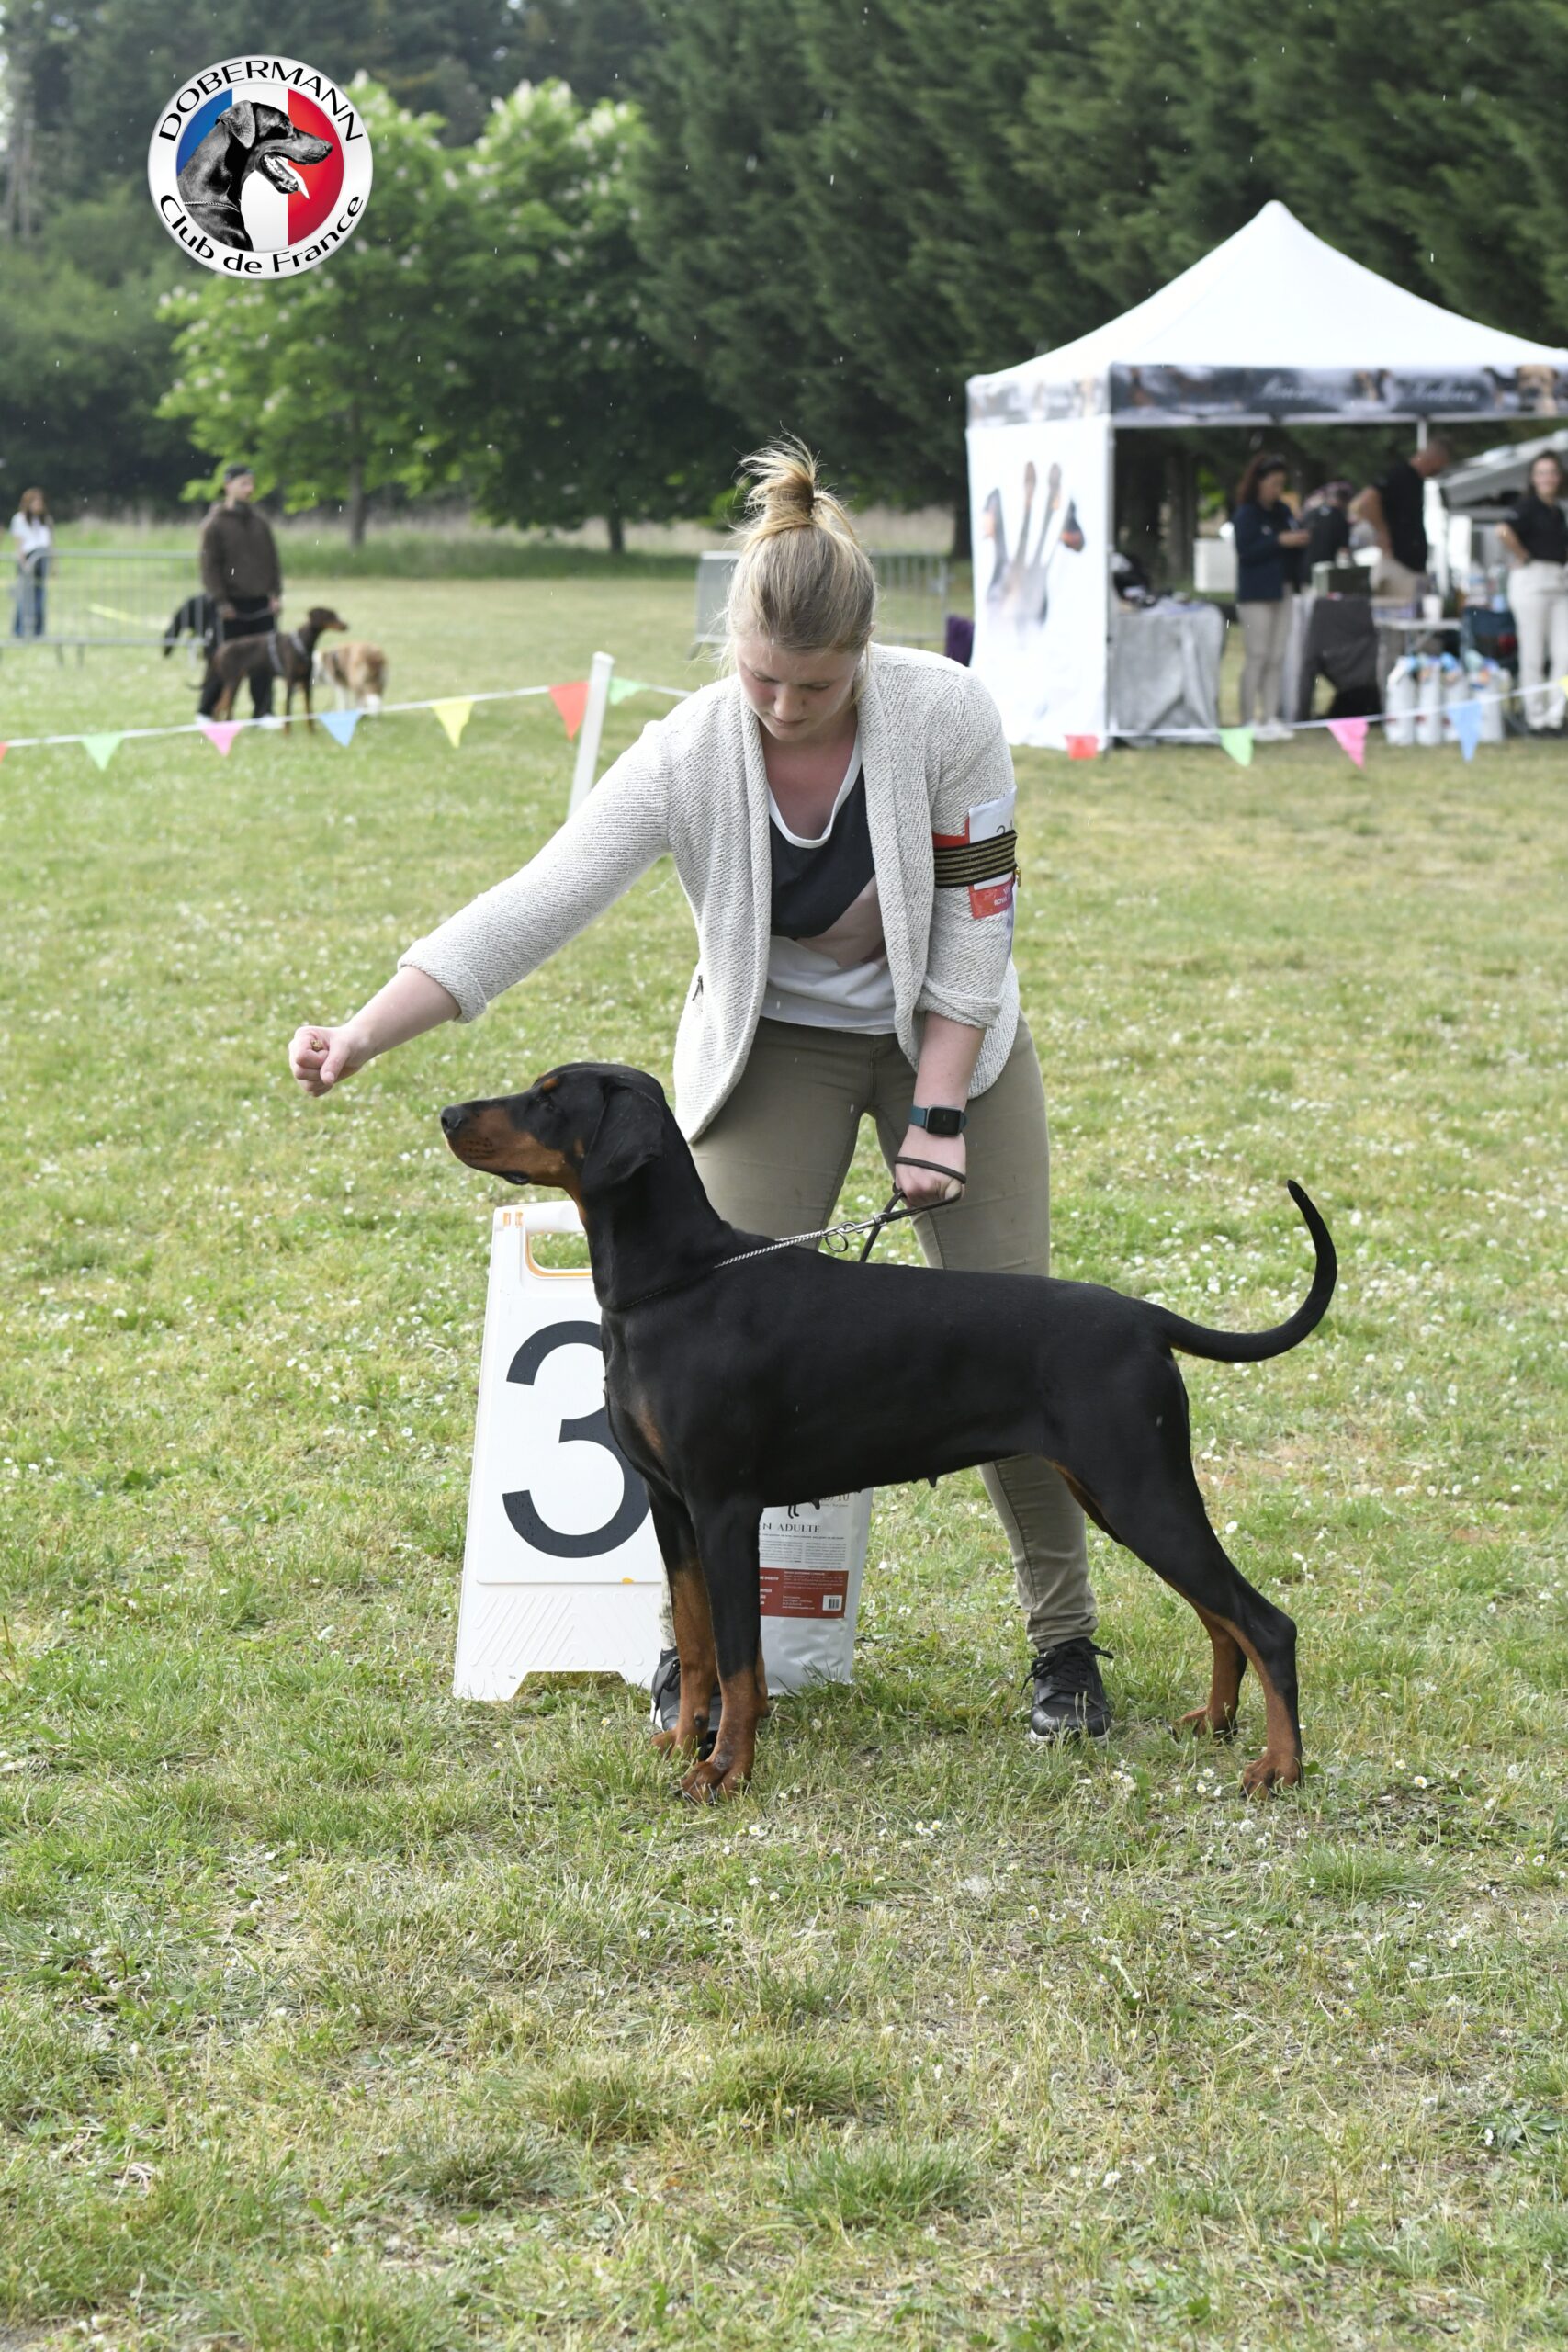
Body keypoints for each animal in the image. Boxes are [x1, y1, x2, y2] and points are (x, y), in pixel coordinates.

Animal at [205, 607, 346, 730]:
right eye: (330, 615)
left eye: (335, 614)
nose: (346, 625)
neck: (302, 643)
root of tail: (221, 649)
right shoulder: (290, 681)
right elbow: (288, 710)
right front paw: (287, 733)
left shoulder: (305, 681)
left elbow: (309, 710)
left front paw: (312, 732)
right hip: (233, 683)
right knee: (227, 709)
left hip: (232, 683)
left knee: (217, 708)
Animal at [440, 1065, 1336, 1804]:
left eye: (550, 1098)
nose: (447, 1112)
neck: (676, 1281)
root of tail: (1145, 1318)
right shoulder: (671, 1509)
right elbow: (695, 1647)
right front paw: (682, 1742)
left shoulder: (725, 1507)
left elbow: (738, 1660)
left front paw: (725, 1769)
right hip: (1120, 1497)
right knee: (1219, 1617)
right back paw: (1215, 1722)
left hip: (1138, 1489)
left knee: (1264, 1623)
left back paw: (1278, 1767)